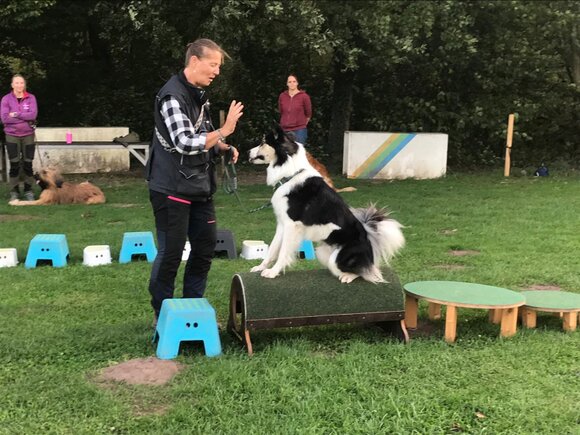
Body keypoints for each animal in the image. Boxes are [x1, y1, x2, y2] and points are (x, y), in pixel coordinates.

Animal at [247, 125, 405, 283]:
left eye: (262, 142)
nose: (247, 151)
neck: (290, 175)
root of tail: (370, 242)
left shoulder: (292, 225)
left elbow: (283, 252)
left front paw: (273, 272)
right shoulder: (282, 224)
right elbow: (273, 248)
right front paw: (261, 267)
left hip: (336, 260)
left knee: (368, 272)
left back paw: (348, 276)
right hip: (322, 252)